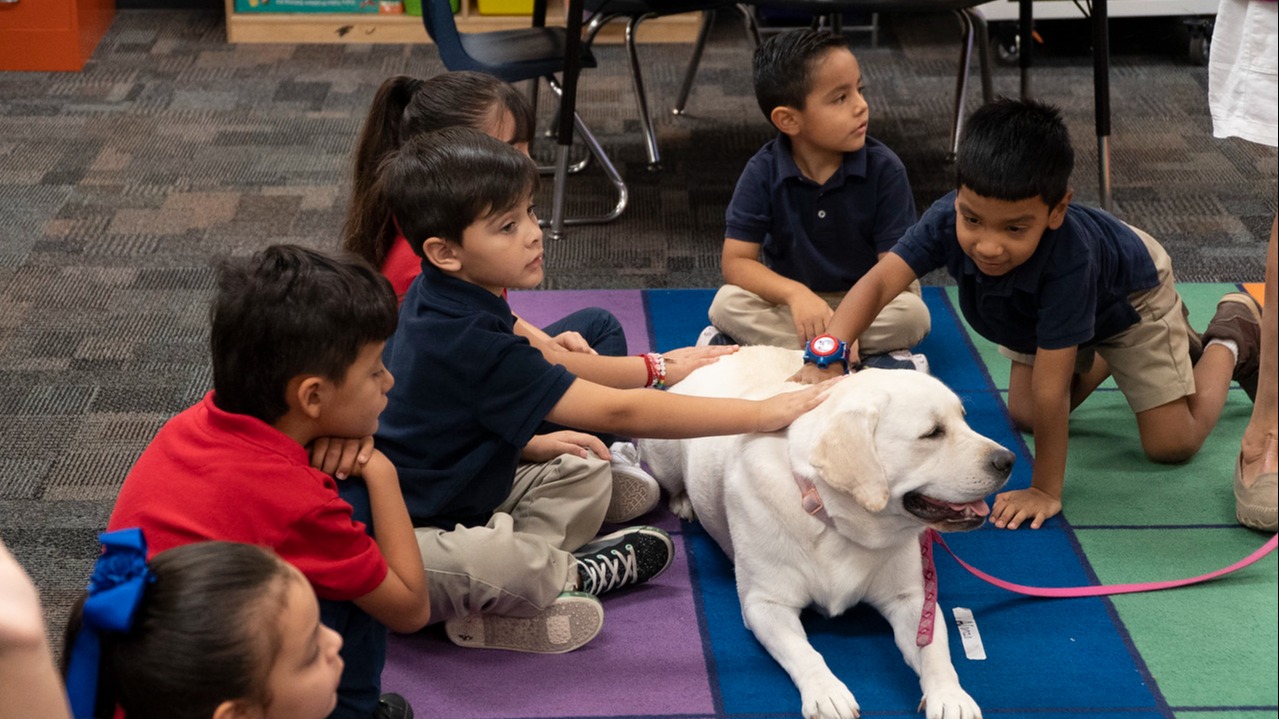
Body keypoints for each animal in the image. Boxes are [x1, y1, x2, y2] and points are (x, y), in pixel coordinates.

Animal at [644, 345, 1012, 711]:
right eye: (933, 432)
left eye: (964, 417)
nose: (1008, 460)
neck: (837, 522)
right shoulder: (764, 604)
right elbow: (805, 653)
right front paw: (826, 693)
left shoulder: (912, 599)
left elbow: (934, 651)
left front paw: (950, 697)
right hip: (665, 449)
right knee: (672, 481)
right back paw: (683, 501)